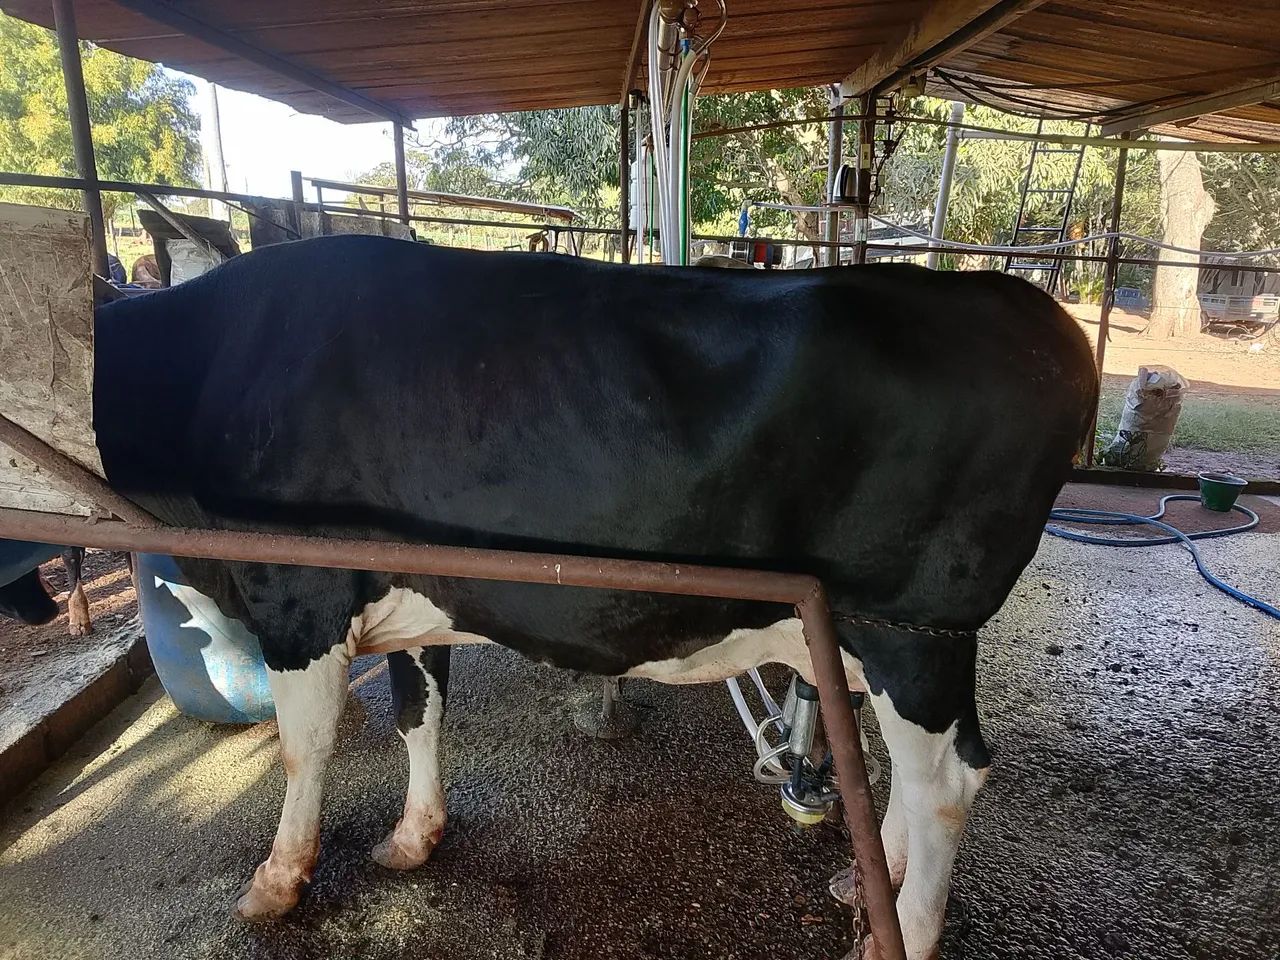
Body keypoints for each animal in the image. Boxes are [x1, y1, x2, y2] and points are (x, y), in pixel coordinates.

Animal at [91, 235, 1097, 960]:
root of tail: (1023, 304)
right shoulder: (422, 588)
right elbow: (419, 712)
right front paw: (414, 838)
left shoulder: (296, 590)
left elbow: (305, 751)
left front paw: (276, 881)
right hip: (882, 641)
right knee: (908, 775)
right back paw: (868, 881)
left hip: (914, 630)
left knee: (947, 784)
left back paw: (902, 932)